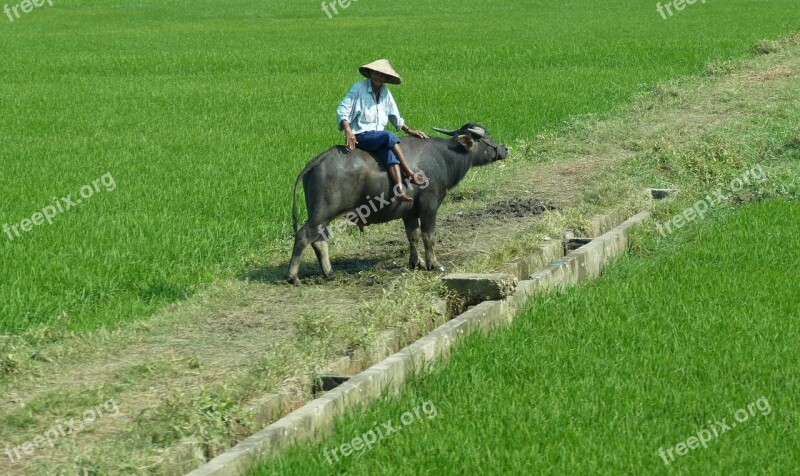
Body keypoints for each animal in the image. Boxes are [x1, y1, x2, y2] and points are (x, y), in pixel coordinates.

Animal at [288, 123, 510, 286]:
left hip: (323, 214)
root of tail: (317, 160)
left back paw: (329, 272)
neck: (445, 157)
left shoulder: (409, 213)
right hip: (323, 211)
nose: (505, 149)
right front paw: (434, 263)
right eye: (486, 137)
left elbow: (413, 235)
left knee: (319, 239)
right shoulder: (430, 206)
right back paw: (293, 276)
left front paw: (417, 262)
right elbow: (429, 235)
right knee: (304, 235)